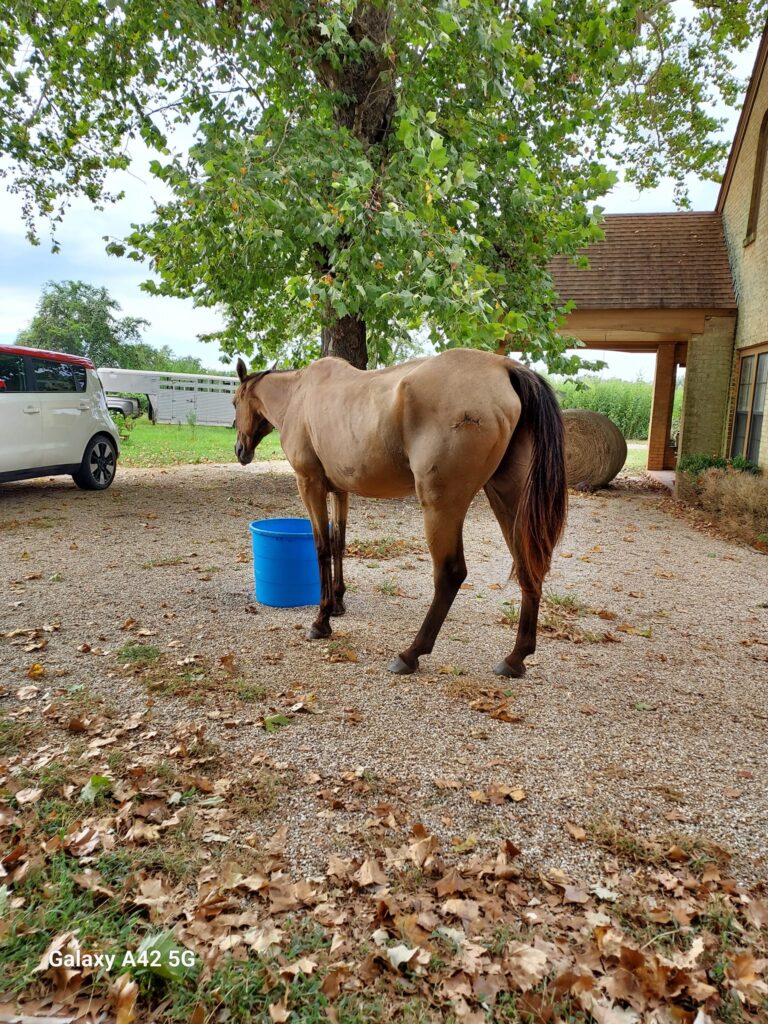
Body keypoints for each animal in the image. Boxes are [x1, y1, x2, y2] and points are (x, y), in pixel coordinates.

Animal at [233, 348, 567, 678]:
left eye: (235, 402)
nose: (240, 450)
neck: (299, 394)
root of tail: (503, 367)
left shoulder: (310, 484)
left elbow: (322, 548)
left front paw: (322, 620)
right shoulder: (340, 491)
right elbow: (339, 543)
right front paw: (338, 603)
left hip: (441, 506)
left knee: (450, 574)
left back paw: (411, 653)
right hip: (507, 501)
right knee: (528, 566)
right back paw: (516, 658)